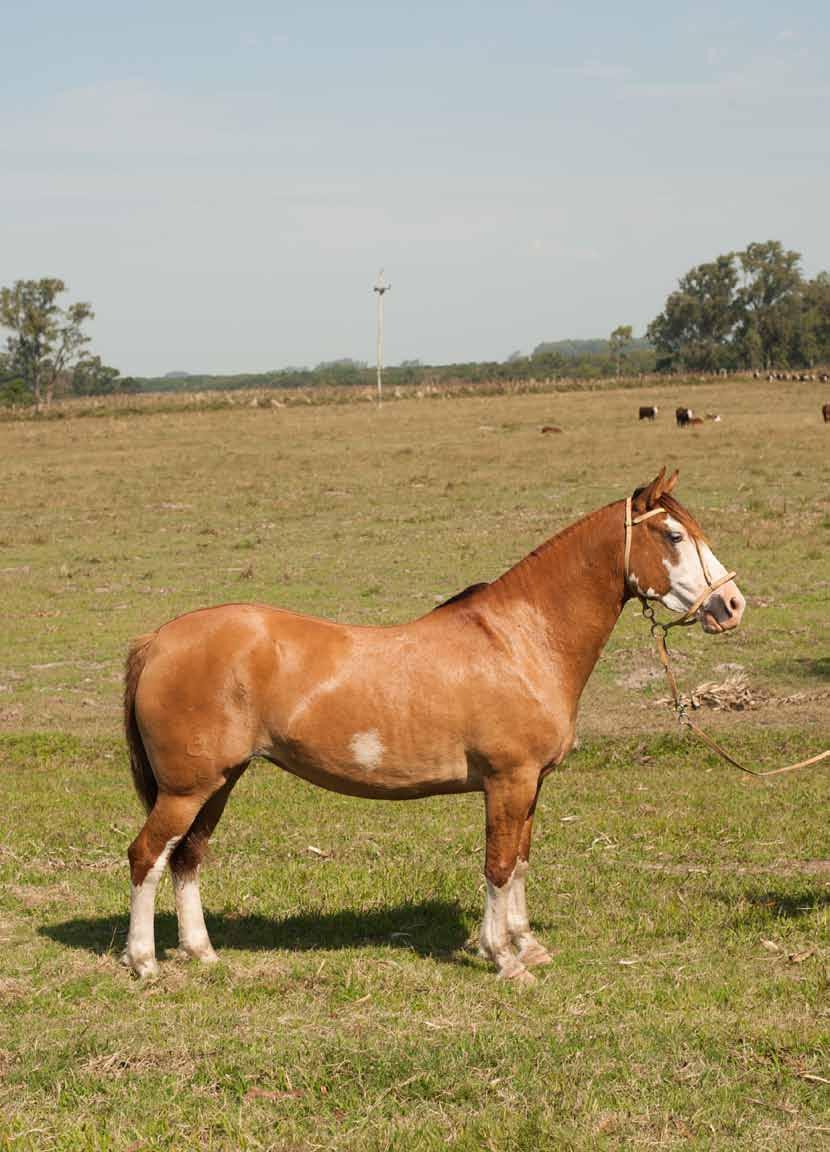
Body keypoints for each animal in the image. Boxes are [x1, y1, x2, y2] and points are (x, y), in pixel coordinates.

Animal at [121, 465, 747, 981]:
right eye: (673, 536)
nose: (731, 605)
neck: (520, 640)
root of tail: (158, 640)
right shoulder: (508, 781)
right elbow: (499, 865)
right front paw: (504, 959)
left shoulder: (532, 785)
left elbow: (520, 860)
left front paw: (527, 946)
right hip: (187, 788)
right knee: (147, 855)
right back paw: (145, 962)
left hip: (220, 782)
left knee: (187, 858)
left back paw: (202, 952)